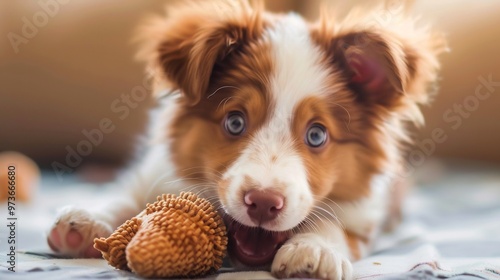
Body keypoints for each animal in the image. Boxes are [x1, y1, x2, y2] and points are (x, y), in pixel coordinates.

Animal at [46, 1, 446, 278]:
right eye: (235, 122)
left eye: (317, 134)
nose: (264, 203)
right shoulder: (154, 169)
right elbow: (128, 194)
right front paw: (85, 221)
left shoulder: (365, 213)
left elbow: (336, 226)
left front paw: (314, 251)